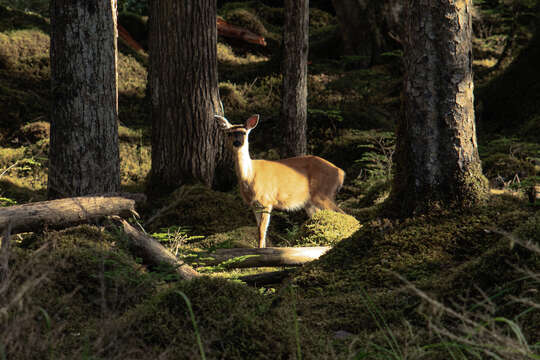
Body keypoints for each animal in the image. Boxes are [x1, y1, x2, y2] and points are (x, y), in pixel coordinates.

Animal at [215, 114, 346, 248]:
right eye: (229, 133)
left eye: (244, 132)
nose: (237, 142)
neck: (249, 177)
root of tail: (341, 172)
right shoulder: (254, 205)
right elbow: (259, 230)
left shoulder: (266, 200)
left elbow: (262, 230)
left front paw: (260, 249)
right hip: (310, 202)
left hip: (323, 193)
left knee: (343, 213)